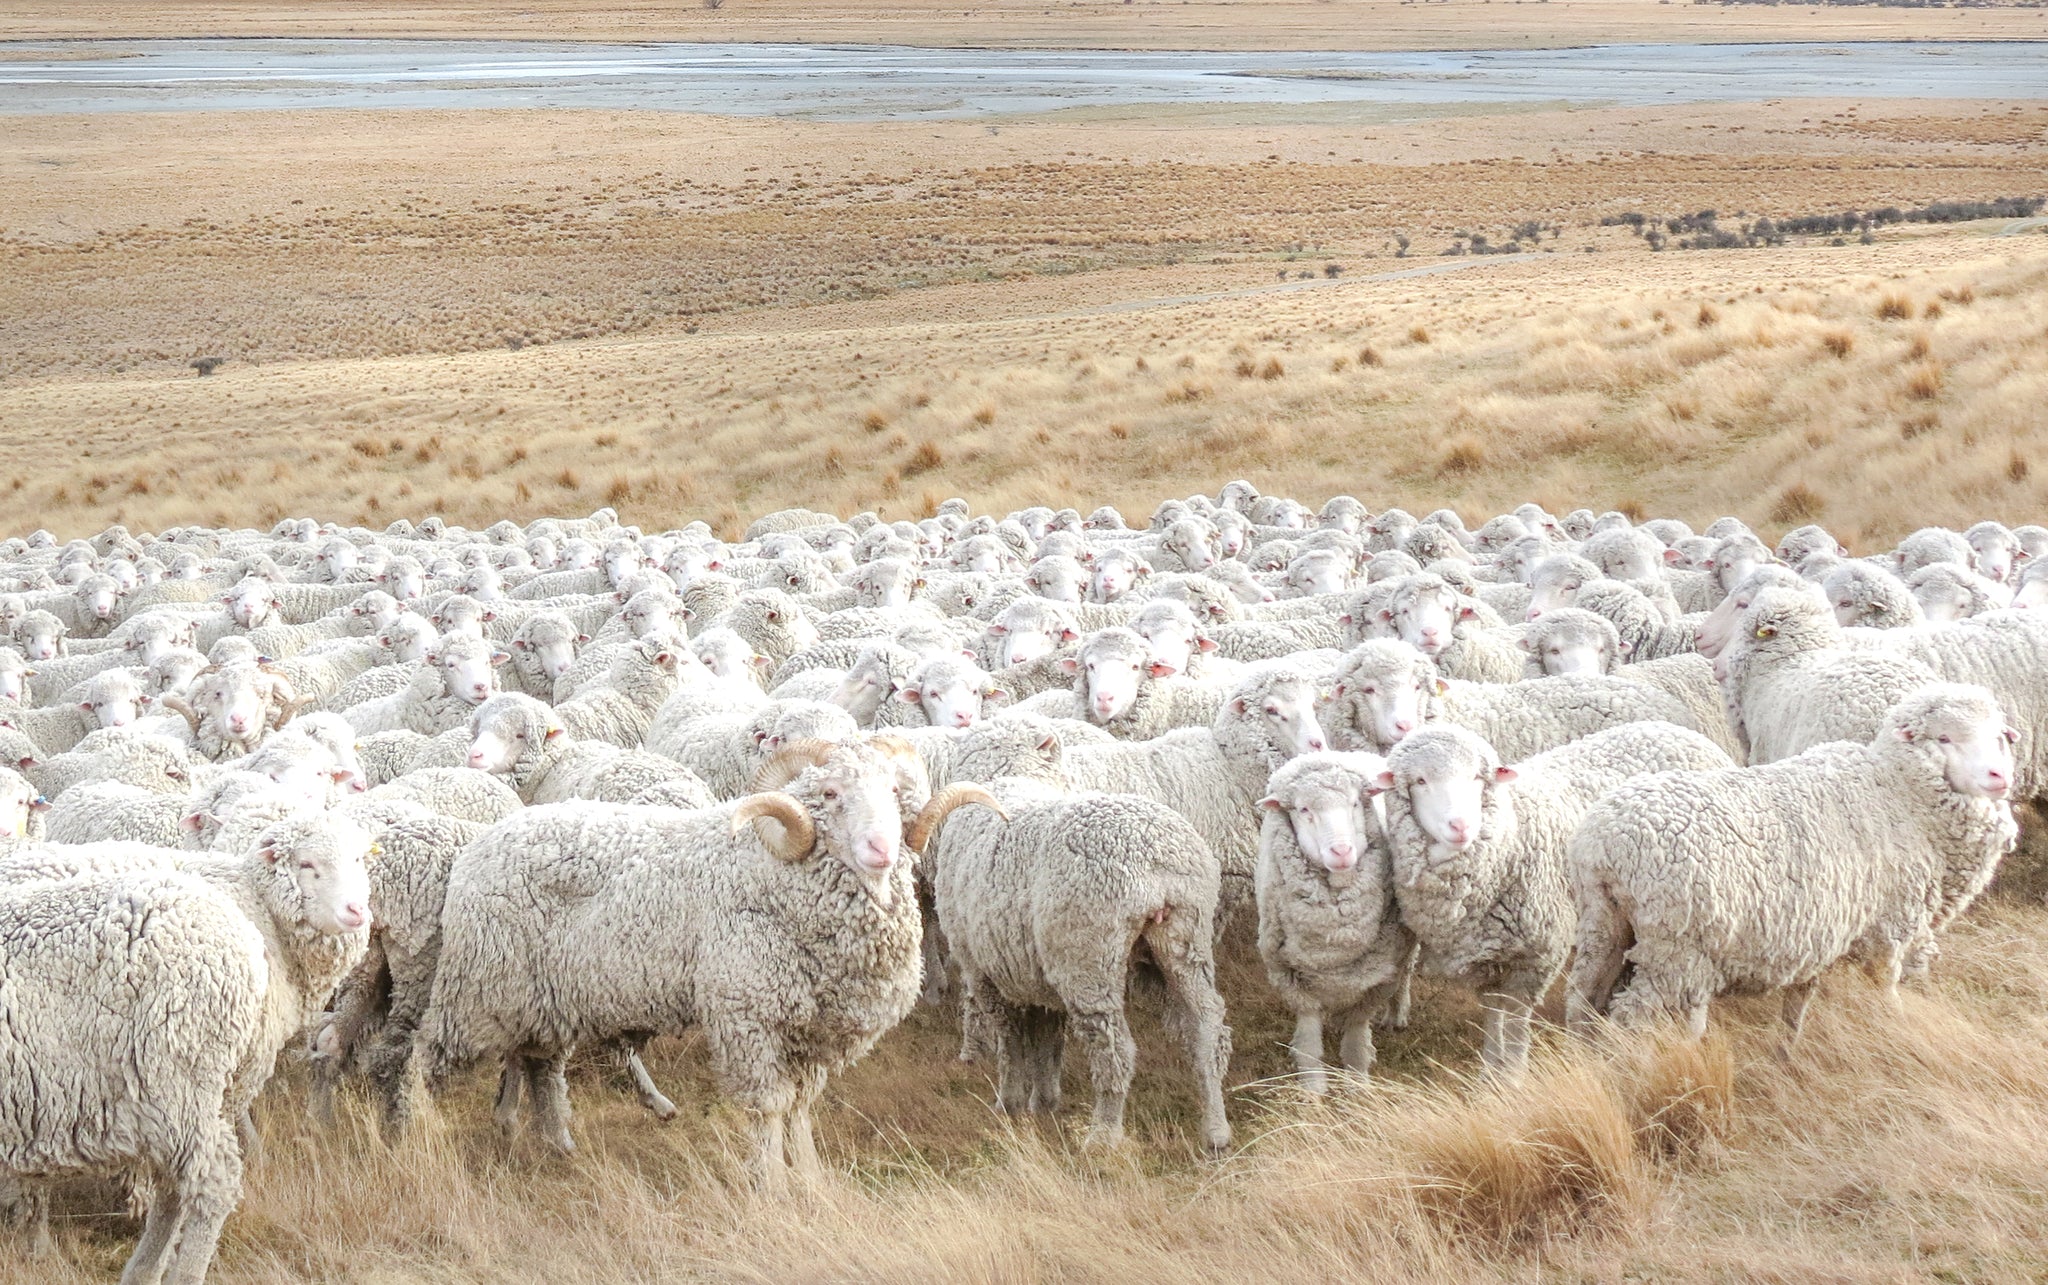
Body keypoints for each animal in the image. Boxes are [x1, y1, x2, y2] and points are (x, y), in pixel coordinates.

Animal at [415, 737, 991, 1180]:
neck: (771, 871)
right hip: (477, 988)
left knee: (540, 1064)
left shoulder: (810, 1030)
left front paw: (809, 1179)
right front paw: (771, 1185)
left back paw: (555, 1143)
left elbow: (801, 1107)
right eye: (831, 793)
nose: (881, 849)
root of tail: (479, 846)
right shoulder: (748, 1017)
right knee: (423, 1059)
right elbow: (769, 1107)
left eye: (894, 792)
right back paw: (416, 1142)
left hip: (541, 997)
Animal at [933, 717, 1220, 1147]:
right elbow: (1047, 1041)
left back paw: (1103, 1136)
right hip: (1187, 939)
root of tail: (1152, 861)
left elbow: (1010, 1041)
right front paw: (1044, 1101)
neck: (1013, 779)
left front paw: (1009, 1103)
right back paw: (1217, 1130)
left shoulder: (984, 970)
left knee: (1114, 1049)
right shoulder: (1032, 970)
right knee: (1208, 1028)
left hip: (1087, 957)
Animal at [1253, 754, 1417, 1098]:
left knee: (1406, 973)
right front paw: (1313, 1089)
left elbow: (1356, 1034)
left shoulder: (1376, 979)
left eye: (1355, 803)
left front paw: (1357, 1082)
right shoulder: (1290, 976)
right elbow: (1309, 1042)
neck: (1335, 938)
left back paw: (1396, 1015)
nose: (1341, 852)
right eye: (1303, 809)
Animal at [1368, 725, 1736, 1073]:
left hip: (1694, 908)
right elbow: (1493, 1013)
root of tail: (1678, 732)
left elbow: (1516, 1020)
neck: (1511, 836)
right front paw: (1490, 1069)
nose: (1460, 826)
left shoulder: (1537, 956)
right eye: (1419, 781)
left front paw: (1513, 1072)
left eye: (1476, 777)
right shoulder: (1488, 956)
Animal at [1564, 684, 2015, 1045]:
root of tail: (1605, 841)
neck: (1900, 793)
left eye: (1999, 738)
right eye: (1944, 737)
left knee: (1582, 995)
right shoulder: (1888, 930)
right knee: (1634, 1017)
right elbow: (1884, 989)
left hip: (1603, 923)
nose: (1999, 777)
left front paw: (1788, 1048)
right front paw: (1895, 1026)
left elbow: (1799, 1003)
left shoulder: (1824, 933)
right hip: (1675, 949)